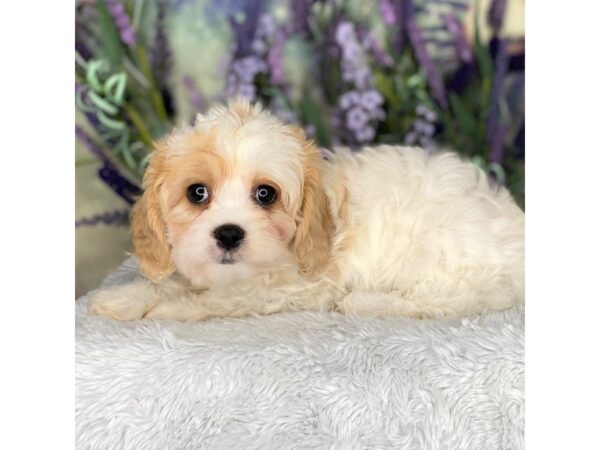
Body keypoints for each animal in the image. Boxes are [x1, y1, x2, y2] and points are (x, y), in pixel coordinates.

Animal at [86, 100, 524, 322]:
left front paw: (172, 308)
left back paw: (367, 303)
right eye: (197, 193)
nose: (228, 234)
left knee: (442, 301)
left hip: (439, 255)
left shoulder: (294, 286)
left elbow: (227, 298)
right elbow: (177, 281)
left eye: (266, 194)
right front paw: (124, 298)